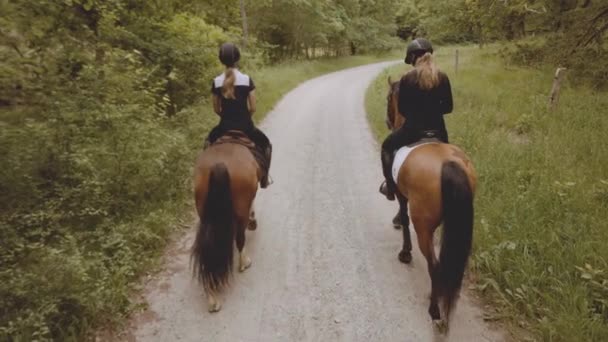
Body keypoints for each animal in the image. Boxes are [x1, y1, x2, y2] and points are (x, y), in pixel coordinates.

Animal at [191, 132, 260, 312]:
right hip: (241, 208)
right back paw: (244, 263)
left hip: (204, 213)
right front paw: (253, 220)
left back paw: (212, 297)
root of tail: (219, 165)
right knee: (240, 238)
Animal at [388, 77, 478, 328]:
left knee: (435, 265)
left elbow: (404, 218)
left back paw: (434, 309)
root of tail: (449, 164)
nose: (388, 121)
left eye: (388, 99)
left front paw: (405, 252)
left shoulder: (403, 196)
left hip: (424, 227)